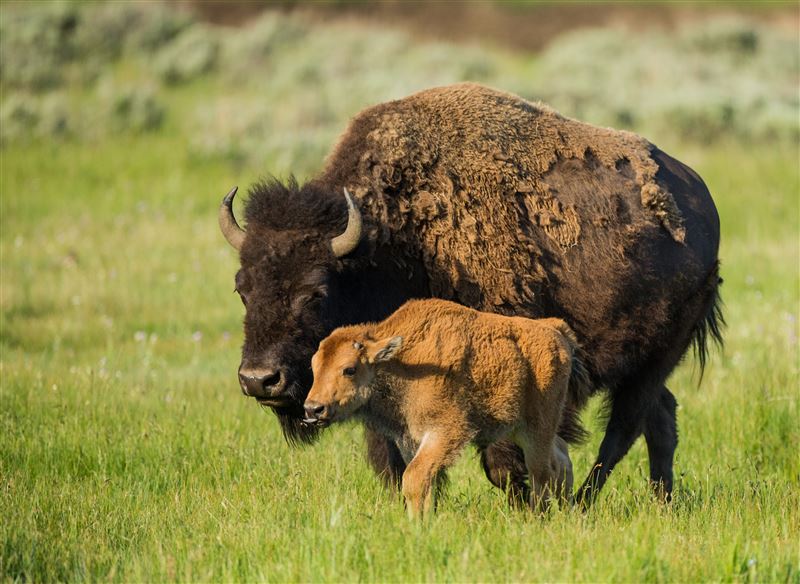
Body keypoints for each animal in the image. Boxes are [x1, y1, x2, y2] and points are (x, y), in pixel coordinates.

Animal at [219, 83, 722, 505]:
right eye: (242, 288)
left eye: (317, 291)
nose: (259, 379)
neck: (396, 240)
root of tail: (700, 199)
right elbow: (391, 454)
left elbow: (502, 458)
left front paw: (524, 502)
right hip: (645, 366)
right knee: (660, 418)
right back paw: (660, 500)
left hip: (655, 358)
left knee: (623, 428)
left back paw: (584, 501)